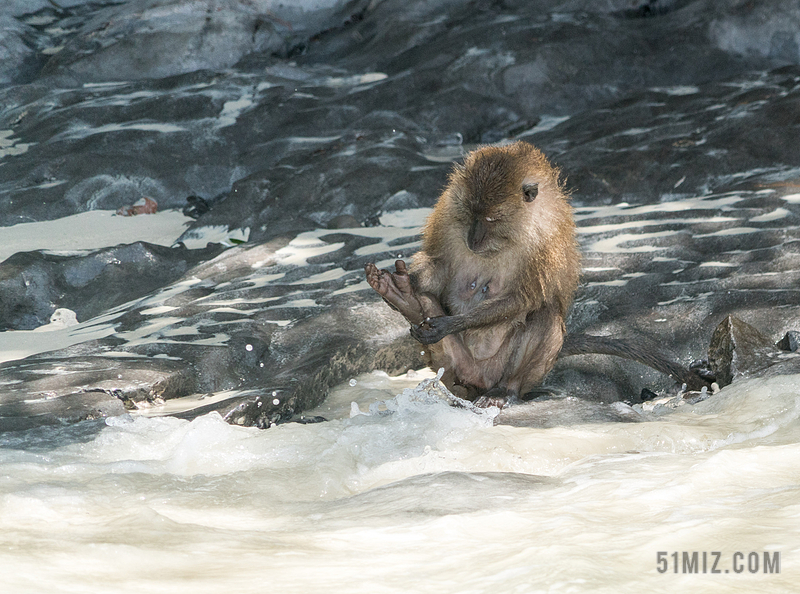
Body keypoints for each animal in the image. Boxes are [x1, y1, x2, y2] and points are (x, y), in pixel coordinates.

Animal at [364, 141, 708, 404]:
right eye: (470, 214)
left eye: (491, 218)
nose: (472, 239)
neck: (512, 230)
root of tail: (477, 377)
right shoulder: (447, 213)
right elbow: (438, 268)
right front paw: (407, 284)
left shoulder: (546, 238)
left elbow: (526, 298)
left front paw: (448, 323)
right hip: (451, 364)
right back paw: (405, 298)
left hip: (510, 372)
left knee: (544, 315)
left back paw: (505, 391)